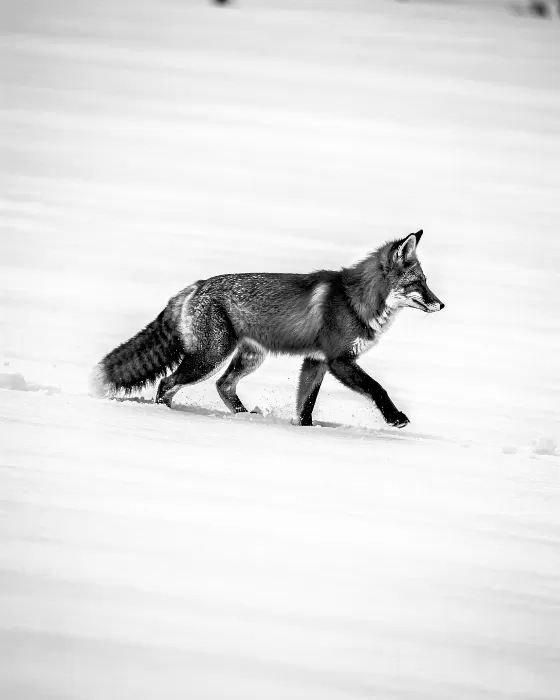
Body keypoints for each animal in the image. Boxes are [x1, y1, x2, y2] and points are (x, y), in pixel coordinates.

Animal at [91, 229, 444, 428]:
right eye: (418, 283)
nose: (441, 305)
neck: (354, 299)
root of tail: (195, 286)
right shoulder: (339, 360)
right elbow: (377, 388)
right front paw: (395, 419)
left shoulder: (315, 361)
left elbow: (305, 407)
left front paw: (304, 430)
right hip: (211, 357)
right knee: (167, 383)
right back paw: (163, 416)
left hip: (248, 358)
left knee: (223, 386)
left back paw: (245, 416)